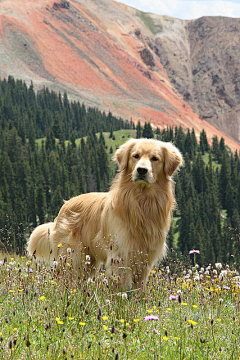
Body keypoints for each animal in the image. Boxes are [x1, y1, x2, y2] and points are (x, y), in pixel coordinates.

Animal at [27, 138, 182, 290]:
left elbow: (139, 289)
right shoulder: (120, 256)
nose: (142, 170)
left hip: (87, 261)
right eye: (136, 156)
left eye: (155, 158)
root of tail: (65, 205)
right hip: (74, 257)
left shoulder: (144, 260)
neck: (141, 202)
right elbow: (124, 287)